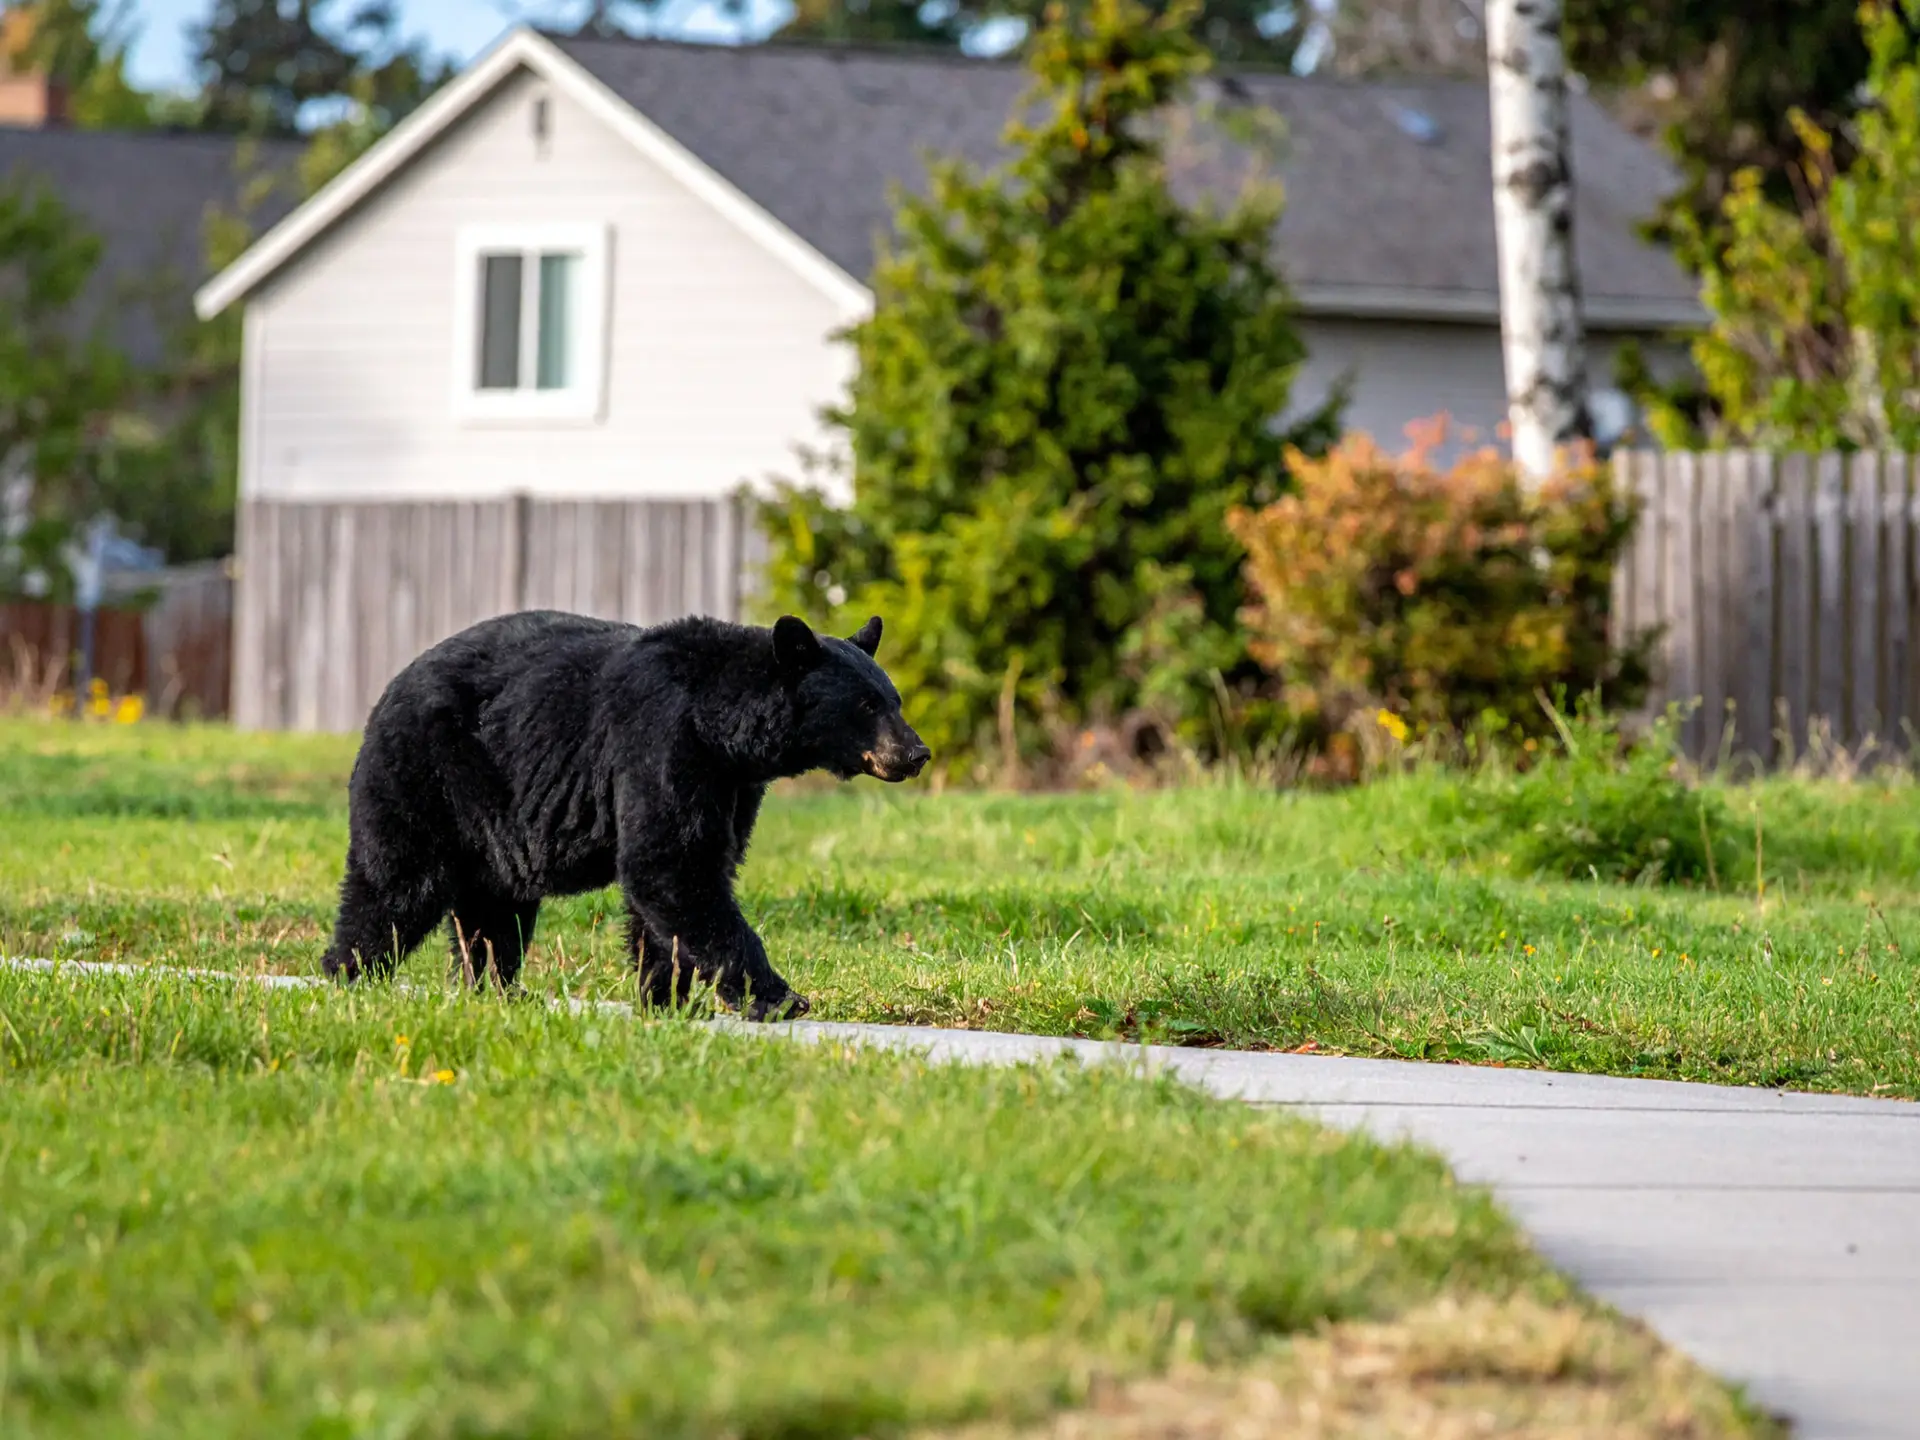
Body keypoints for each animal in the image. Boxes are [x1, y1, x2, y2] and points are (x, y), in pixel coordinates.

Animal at [319, 609, 929, 1020]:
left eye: (894, 699)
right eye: (867, 704)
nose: (916, 752)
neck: (722, 729)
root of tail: (387, 690)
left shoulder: (732, 784)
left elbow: (683, 876)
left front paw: (667, 999)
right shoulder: (661, 741)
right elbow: (671, 864)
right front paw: (780, 998)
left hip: (489, 817)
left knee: (494, 906)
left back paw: (500, 988)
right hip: (427, 775)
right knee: (396, 883)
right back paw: (350, 973)